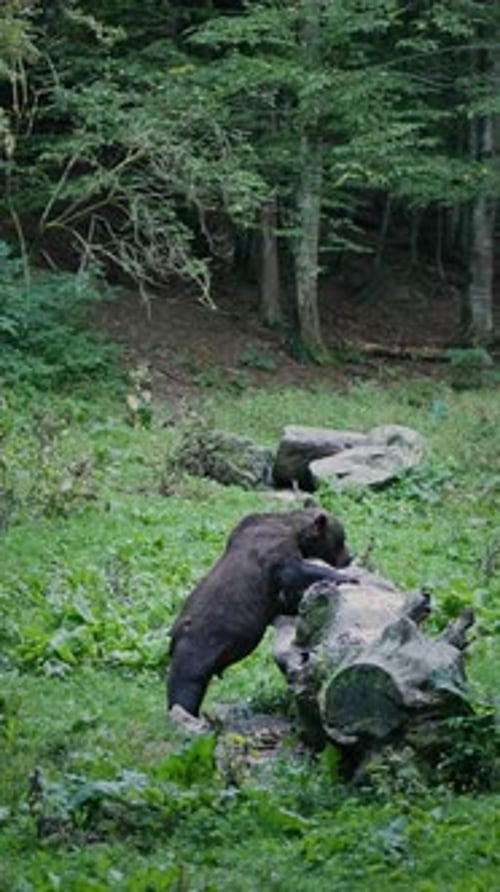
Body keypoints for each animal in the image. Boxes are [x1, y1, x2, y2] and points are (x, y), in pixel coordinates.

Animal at [167, 507, 357, 717]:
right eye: (341, 539)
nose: (349, 557)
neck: (295, 532)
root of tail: (176, 631)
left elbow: (286, 600)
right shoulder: (273, 553)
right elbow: (292, 572)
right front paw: (347, 577)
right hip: (200, 644)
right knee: (186, 683)